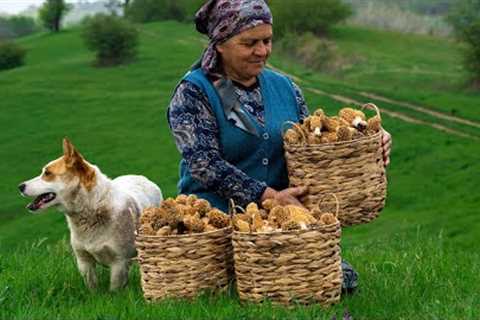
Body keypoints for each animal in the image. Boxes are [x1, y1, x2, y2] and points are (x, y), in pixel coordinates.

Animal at [18, 139, 163, 292]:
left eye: (47, 173)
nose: (20, 186)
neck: (93, 207)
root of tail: (143, 178)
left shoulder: (119, 262)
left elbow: (114, 289)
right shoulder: (84, 261)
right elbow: (92, 287)